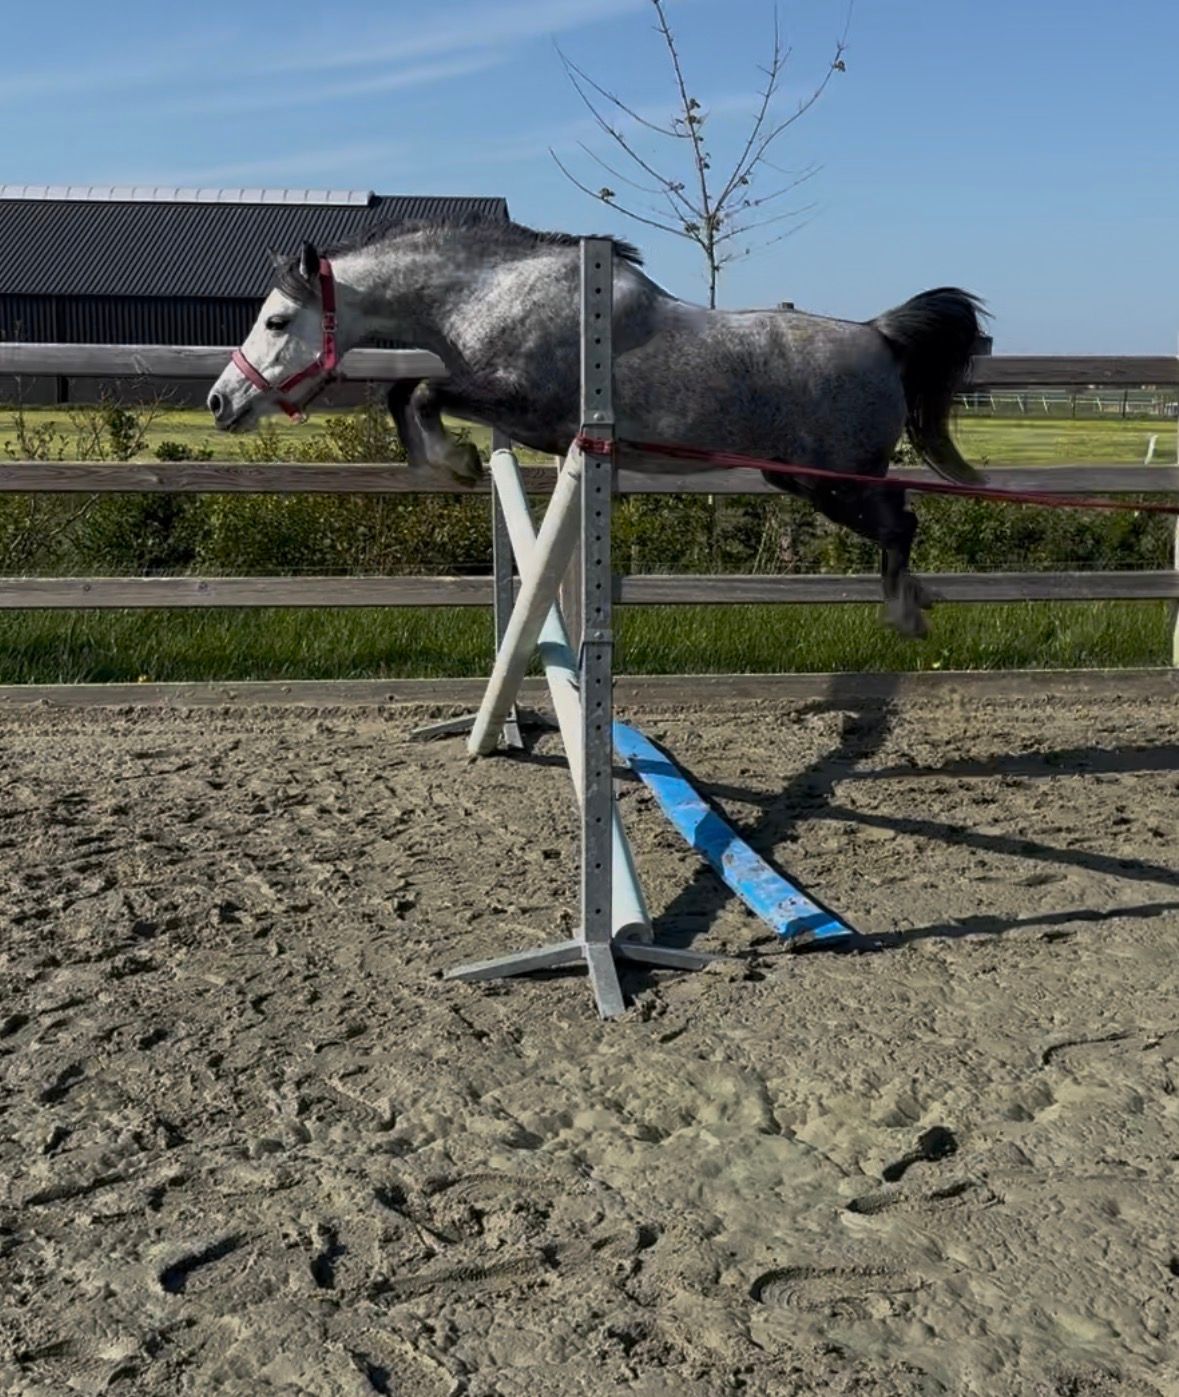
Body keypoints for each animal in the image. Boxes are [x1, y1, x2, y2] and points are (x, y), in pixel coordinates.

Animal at [207, 218, 985, 635]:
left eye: (277, 321)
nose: (221, 402)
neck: (493, 289)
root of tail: (879, 336)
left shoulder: (523, 405)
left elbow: (417, 390)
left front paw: (453, 461)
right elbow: (407, 393)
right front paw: (449, 462)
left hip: (831, 482)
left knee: (902, 523)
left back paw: (905, 615)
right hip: (808, 481)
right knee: (899, 522)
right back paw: (915, 602)